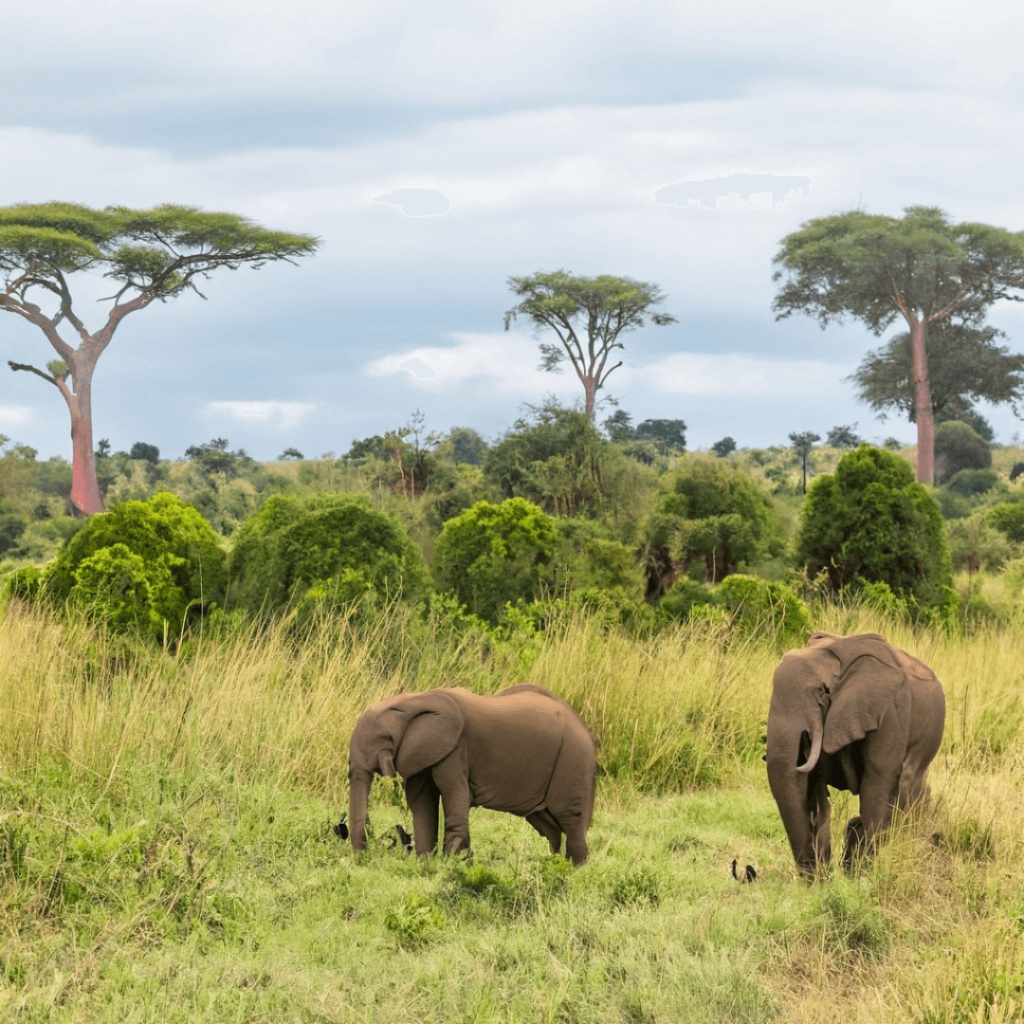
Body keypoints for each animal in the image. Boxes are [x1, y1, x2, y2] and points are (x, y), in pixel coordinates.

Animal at [346, 688, 598, 864]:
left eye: (381, 738)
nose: (367, 853)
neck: (417, 700)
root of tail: (585, 729)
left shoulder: (456, 750)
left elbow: (454, 794)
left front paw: (454, 865)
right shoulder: (424, 752)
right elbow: (421, 801)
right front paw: (426, 864)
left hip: (572, 761)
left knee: (570, 819)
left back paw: (574, 870)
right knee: (548, 825)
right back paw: (552, 864)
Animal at [765, 626, 946, 876]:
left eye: (823, 693)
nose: (811, 878)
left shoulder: (891, 711)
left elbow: (877, 785)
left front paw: (860, 876)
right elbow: (814, 793)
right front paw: (825, 879)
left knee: (905, 788)